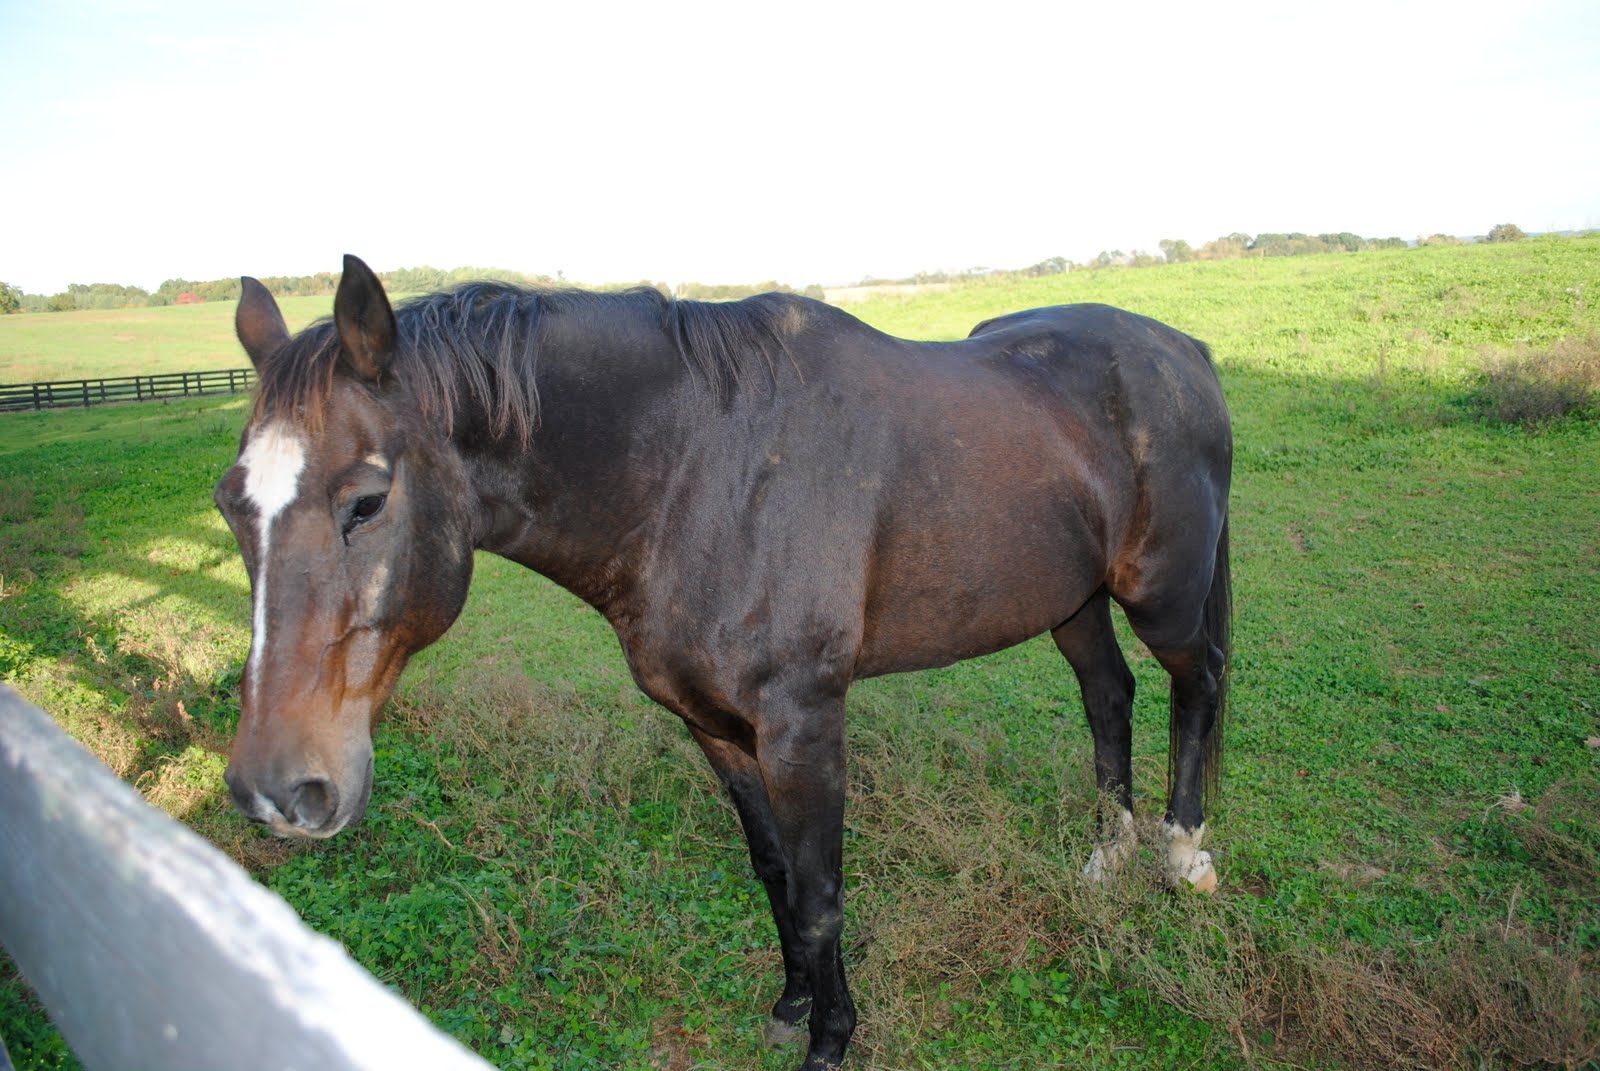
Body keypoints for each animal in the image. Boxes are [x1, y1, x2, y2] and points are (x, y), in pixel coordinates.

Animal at [216, 255, 1232, 1070]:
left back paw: (1182, 855)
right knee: (1108, 693)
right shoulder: (712, 725)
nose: (279, 789)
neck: (700, 470)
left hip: (1164, 595)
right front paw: (791, 1004)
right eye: (231, 503)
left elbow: (821, 890)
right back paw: (1106, 855)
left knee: (1200, 683)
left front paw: (832, 1038)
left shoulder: (803, 724)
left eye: (366, 501)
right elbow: (775, 871)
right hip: (1071, 600)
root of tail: (1184, 349)